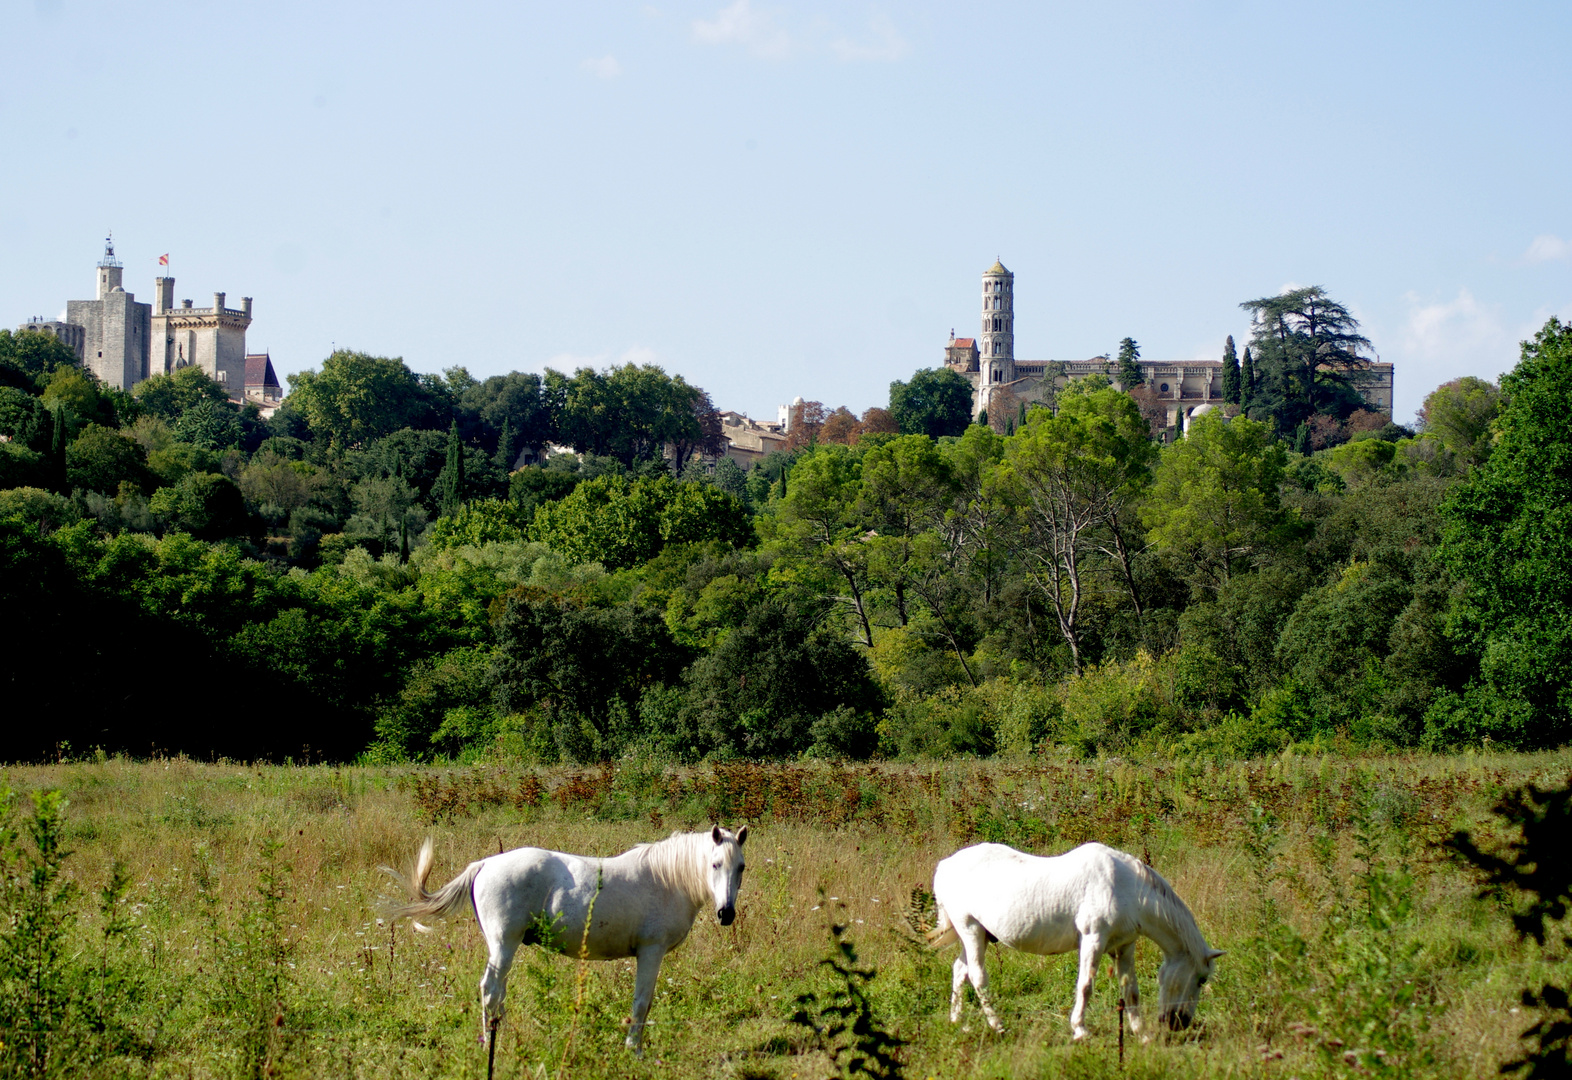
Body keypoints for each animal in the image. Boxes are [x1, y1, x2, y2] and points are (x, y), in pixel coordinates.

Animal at [383, 823, 745, 1068]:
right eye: (715, 864)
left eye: (740, 867)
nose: (726, 913)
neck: (666, 879)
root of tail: (485, 864)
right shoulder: (650, 952)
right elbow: (642, 1003)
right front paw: (635, 1051)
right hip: (503, 944)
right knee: (490, 990)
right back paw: (489, 1045)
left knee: (497, 993)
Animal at [924, 842, 1219, 1043]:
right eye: (1201, 979)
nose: (1179, 1022)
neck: (1127, 887)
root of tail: (945, 865)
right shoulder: (1093, 939)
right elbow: (1086, 985)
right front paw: (1080, 1030)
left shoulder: (1124, 947)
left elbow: (1131, 990)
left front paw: (1142, 1034)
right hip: (970, 929)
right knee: (977, 976)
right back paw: (997, 1025)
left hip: (978, 935)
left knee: (959, 971)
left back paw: (958, 1022)